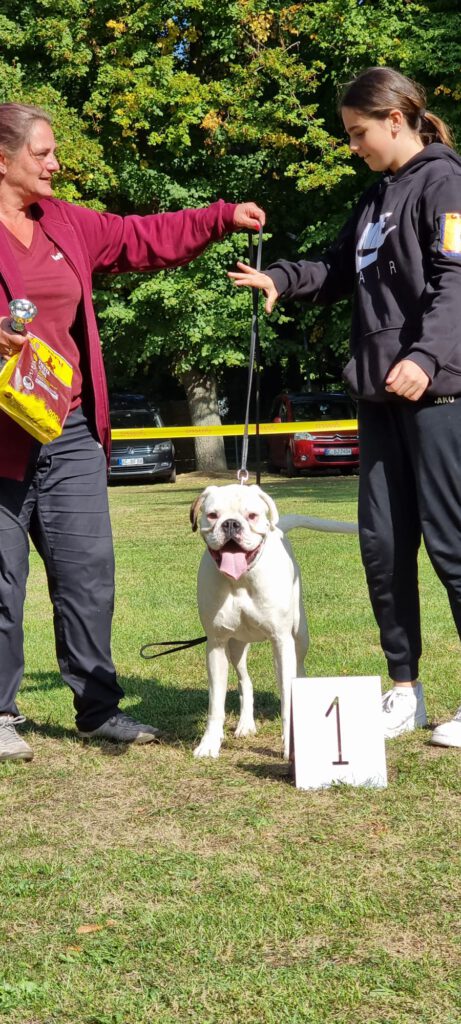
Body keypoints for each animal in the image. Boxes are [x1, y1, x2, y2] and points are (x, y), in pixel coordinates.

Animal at [189, 481, 356, 761]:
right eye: (212, 515)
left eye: (252, 515)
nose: (231, 524)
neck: (241, 580)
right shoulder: (216, 645)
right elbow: (216, 703)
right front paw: (210, 743)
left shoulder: (281, 641)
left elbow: (287, 696)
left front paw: (290, 745)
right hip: (236, 647)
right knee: (245, 681)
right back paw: (245, 723)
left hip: (299, 637)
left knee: (297, 670)